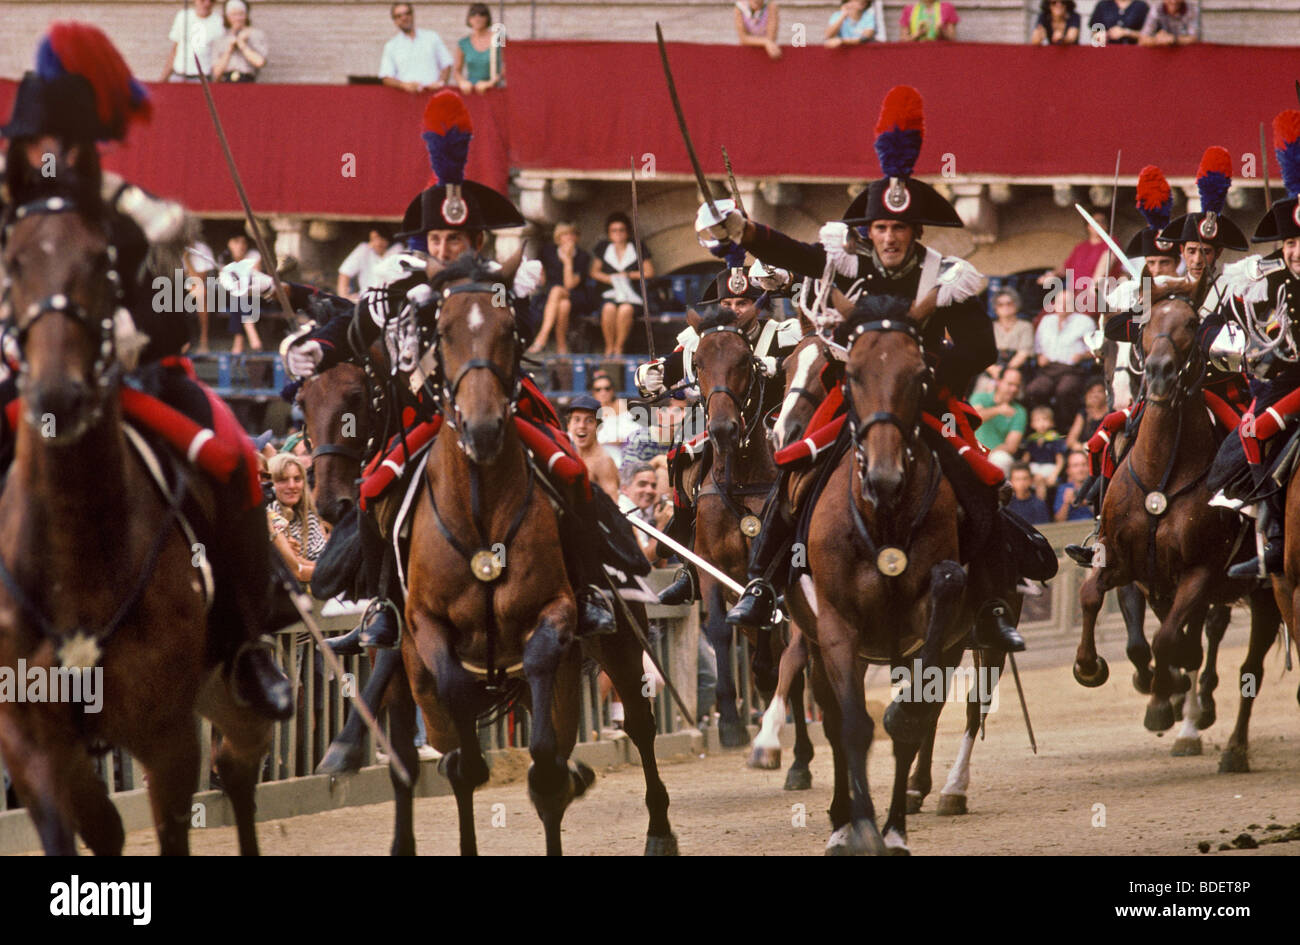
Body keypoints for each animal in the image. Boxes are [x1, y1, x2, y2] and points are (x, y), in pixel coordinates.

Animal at [0, 171, 270, 857]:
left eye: (102, 263)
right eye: (14, 265)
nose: (58, 394)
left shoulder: (166, 734)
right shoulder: (34, 739)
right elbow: (82, 829)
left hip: (226, 688)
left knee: (237, 764)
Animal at [403, 259, 681, 857]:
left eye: (510, 331)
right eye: (443, 332)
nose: (483, 427)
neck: (481, 517)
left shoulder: (551, 618)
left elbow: (547, 760)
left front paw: (562, 780)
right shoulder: (427, 629)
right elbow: (461, 737)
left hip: (617, 642)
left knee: (637, 723)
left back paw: (658, 829)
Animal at [1076, 280, 1279, 769]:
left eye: (1190, 323)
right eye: (1142, 324)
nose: (1160, 373)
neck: (1160, 474)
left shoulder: (1198, 573)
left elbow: (1170, 639)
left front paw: (1169, 690)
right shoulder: (1124, 563)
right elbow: (1099, 604)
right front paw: (1091, 667)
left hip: (1264, 593)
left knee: (1248, 666)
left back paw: (1230, 743)